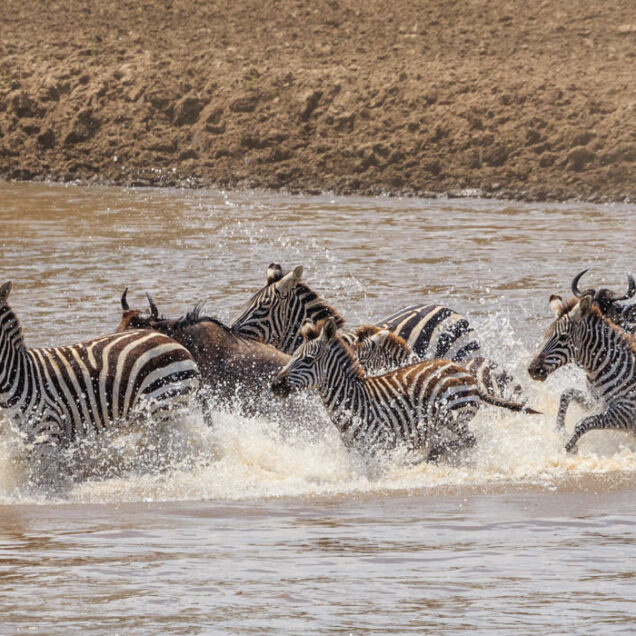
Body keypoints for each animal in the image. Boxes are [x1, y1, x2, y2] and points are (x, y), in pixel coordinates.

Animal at [270, 318, 540, 462]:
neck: (354, 399)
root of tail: (460, 367)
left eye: (307, 360)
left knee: (467, 442)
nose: (274, 384)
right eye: (294, 355)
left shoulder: (382, 444)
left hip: (455, 418)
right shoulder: (356, 449)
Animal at [528, 294, 636, 452]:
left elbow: (583, 423)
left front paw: (569, 448)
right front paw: (560, 429)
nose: (532, 370)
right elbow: (566, 393)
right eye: (545, 335)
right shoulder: (597, 402)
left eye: (563, 337)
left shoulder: (627, 414)